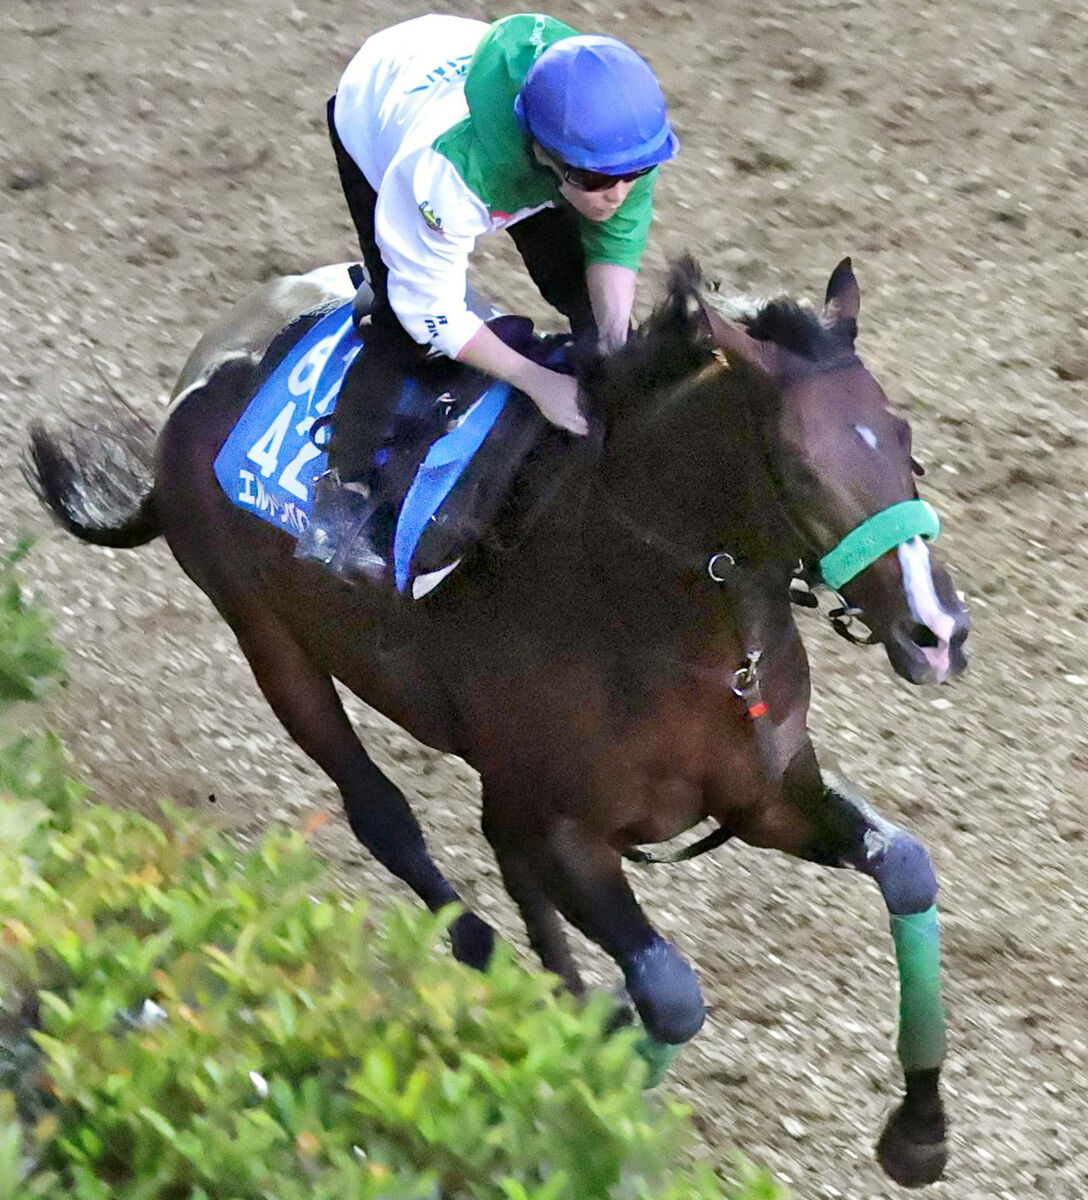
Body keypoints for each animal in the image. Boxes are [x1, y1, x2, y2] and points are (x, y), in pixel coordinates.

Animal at [27, 256, 969, 1187]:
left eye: (905, 441)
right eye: (800, 468)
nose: (937, 631)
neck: (665, 626)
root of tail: (199, 378)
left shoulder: (764, 794)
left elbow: (906, 866)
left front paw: (919, 1128)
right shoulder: (568, 829)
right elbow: (669, 995)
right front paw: (587, 1101)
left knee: (500, 855)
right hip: (267, 639)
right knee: (385, 818)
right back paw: (483, 954)